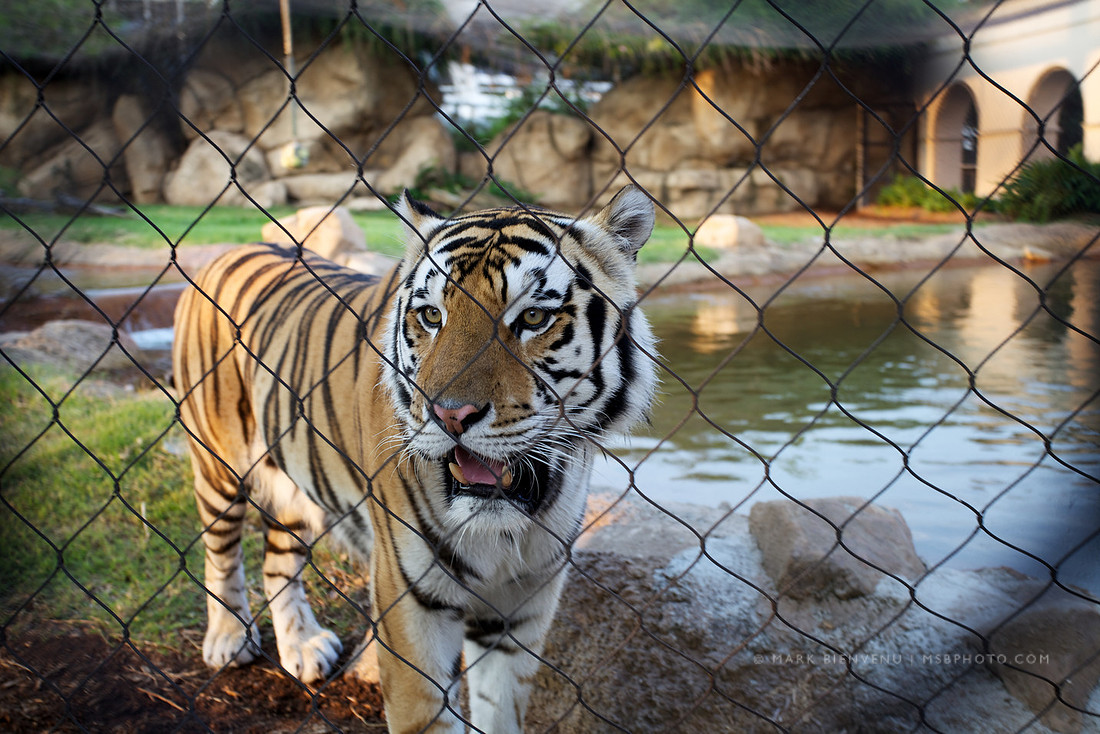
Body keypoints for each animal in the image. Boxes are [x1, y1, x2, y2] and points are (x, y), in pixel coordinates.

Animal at [171, 186, 659, 733]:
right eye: (431, 316)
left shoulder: (523, 601)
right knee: (220, 551)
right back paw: (229, 639)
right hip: (217, 464)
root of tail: (223, 253)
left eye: (533, 318)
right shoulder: (411, 601)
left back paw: (302, 645)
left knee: (278, 561)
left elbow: (499, 709)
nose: (450, 415)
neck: (508, 526)